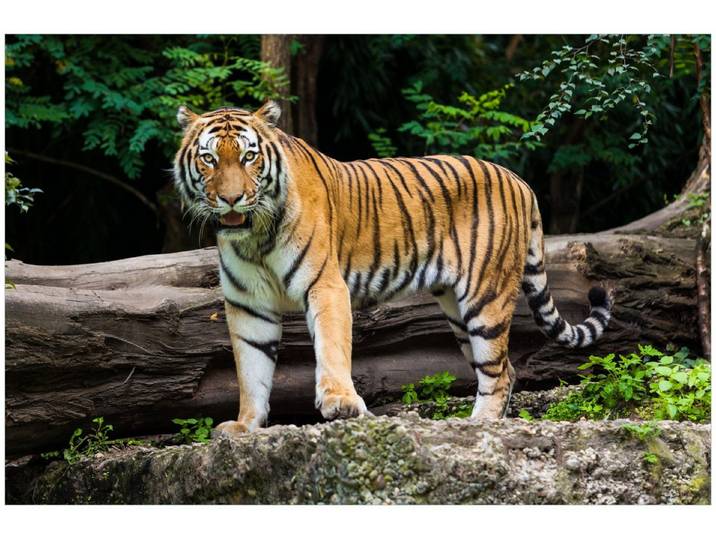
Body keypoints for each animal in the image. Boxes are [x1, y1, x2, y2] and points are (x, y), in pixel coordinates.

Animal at [174, 101, 612, 435]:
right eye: (209, 158)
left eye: (249, 156)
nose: (232, 199)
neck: (255, 237)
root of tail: (520, 182)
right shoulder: (248, 304)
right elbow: (251, 369)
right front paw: (245, 425)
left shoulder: (325, 286)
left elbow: (331, 348)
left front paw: (340, 403)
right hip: (457, 311)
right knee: (505, 370)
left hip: (486, 298)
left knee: (499, 372)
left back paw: (478, 426)